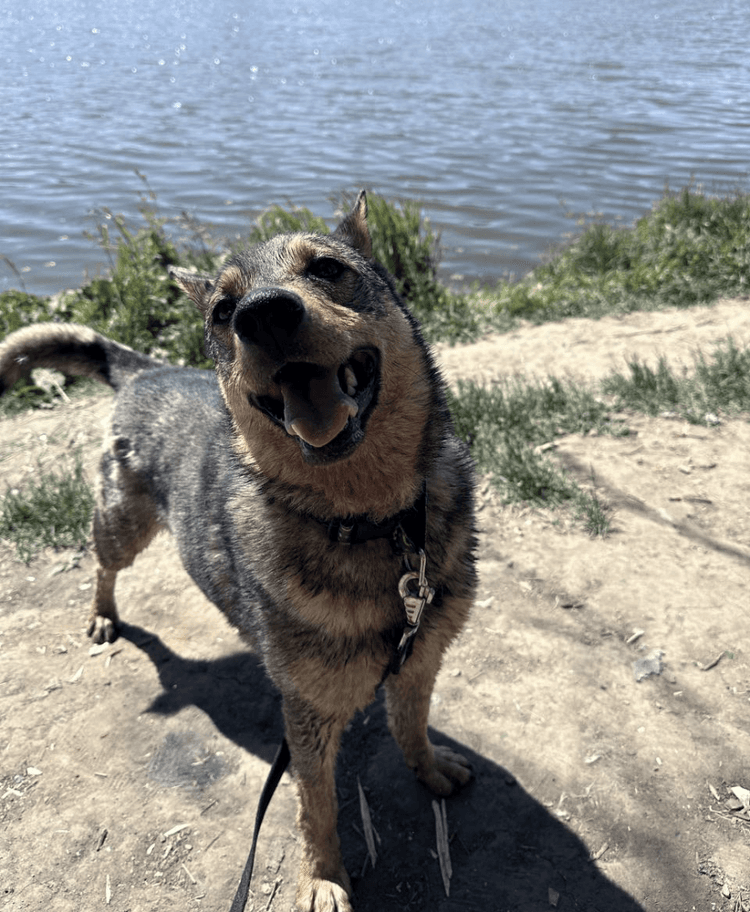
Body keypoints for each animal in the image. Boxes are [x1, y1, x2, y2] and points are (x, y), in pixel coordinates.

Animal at [0, 192, 477, 911]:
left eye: (328, 268)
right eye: (223, 311)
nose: (263, 314)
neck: (370, 522)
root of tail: (149, 370)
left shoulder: (421, 659)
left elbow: (413, 724)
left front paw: (430, 768)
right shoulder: (306, 714)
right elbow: (316, 807)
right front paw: (323, 879)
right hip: (123, 521)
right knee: (103, 565)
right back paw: (103, 614)